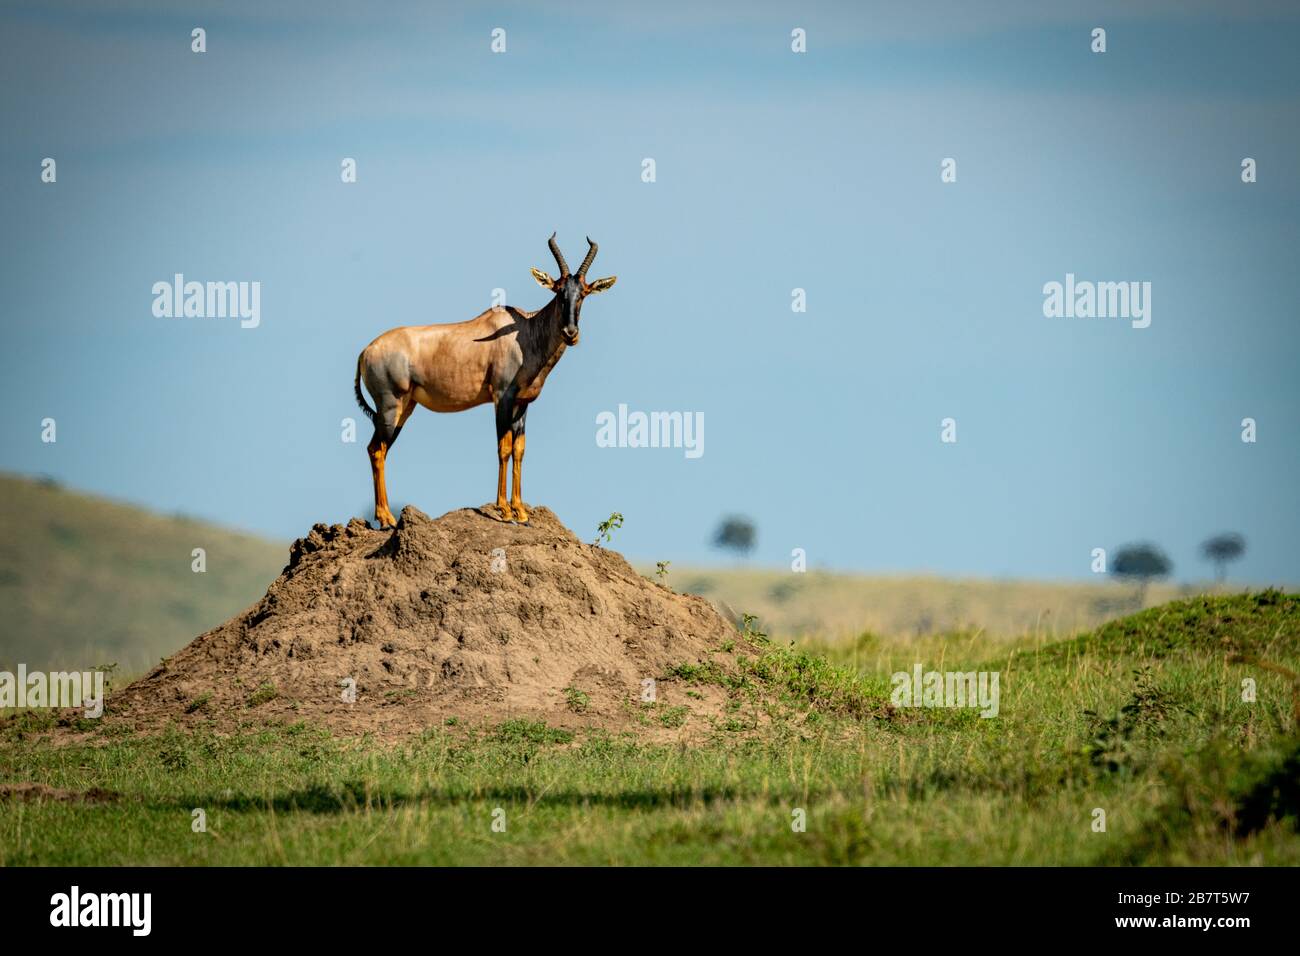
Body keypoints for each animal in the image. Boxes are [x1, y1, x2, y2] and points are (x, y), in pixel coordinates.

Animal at [353, 234, 616, 530]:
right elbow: (503, 447)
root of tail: (366, 351)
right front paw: (504, 510)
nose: (571, 333)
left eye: (583, 292)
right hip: (390, 405)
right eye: (558, 291)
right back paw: (385, 518)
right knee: (376, 450)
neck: (524, 334)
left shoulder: (523, 404)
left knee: (380, 449)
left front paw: (521, 512)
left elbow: (519, 449)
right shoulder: (502, 398)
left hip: (405, 409)